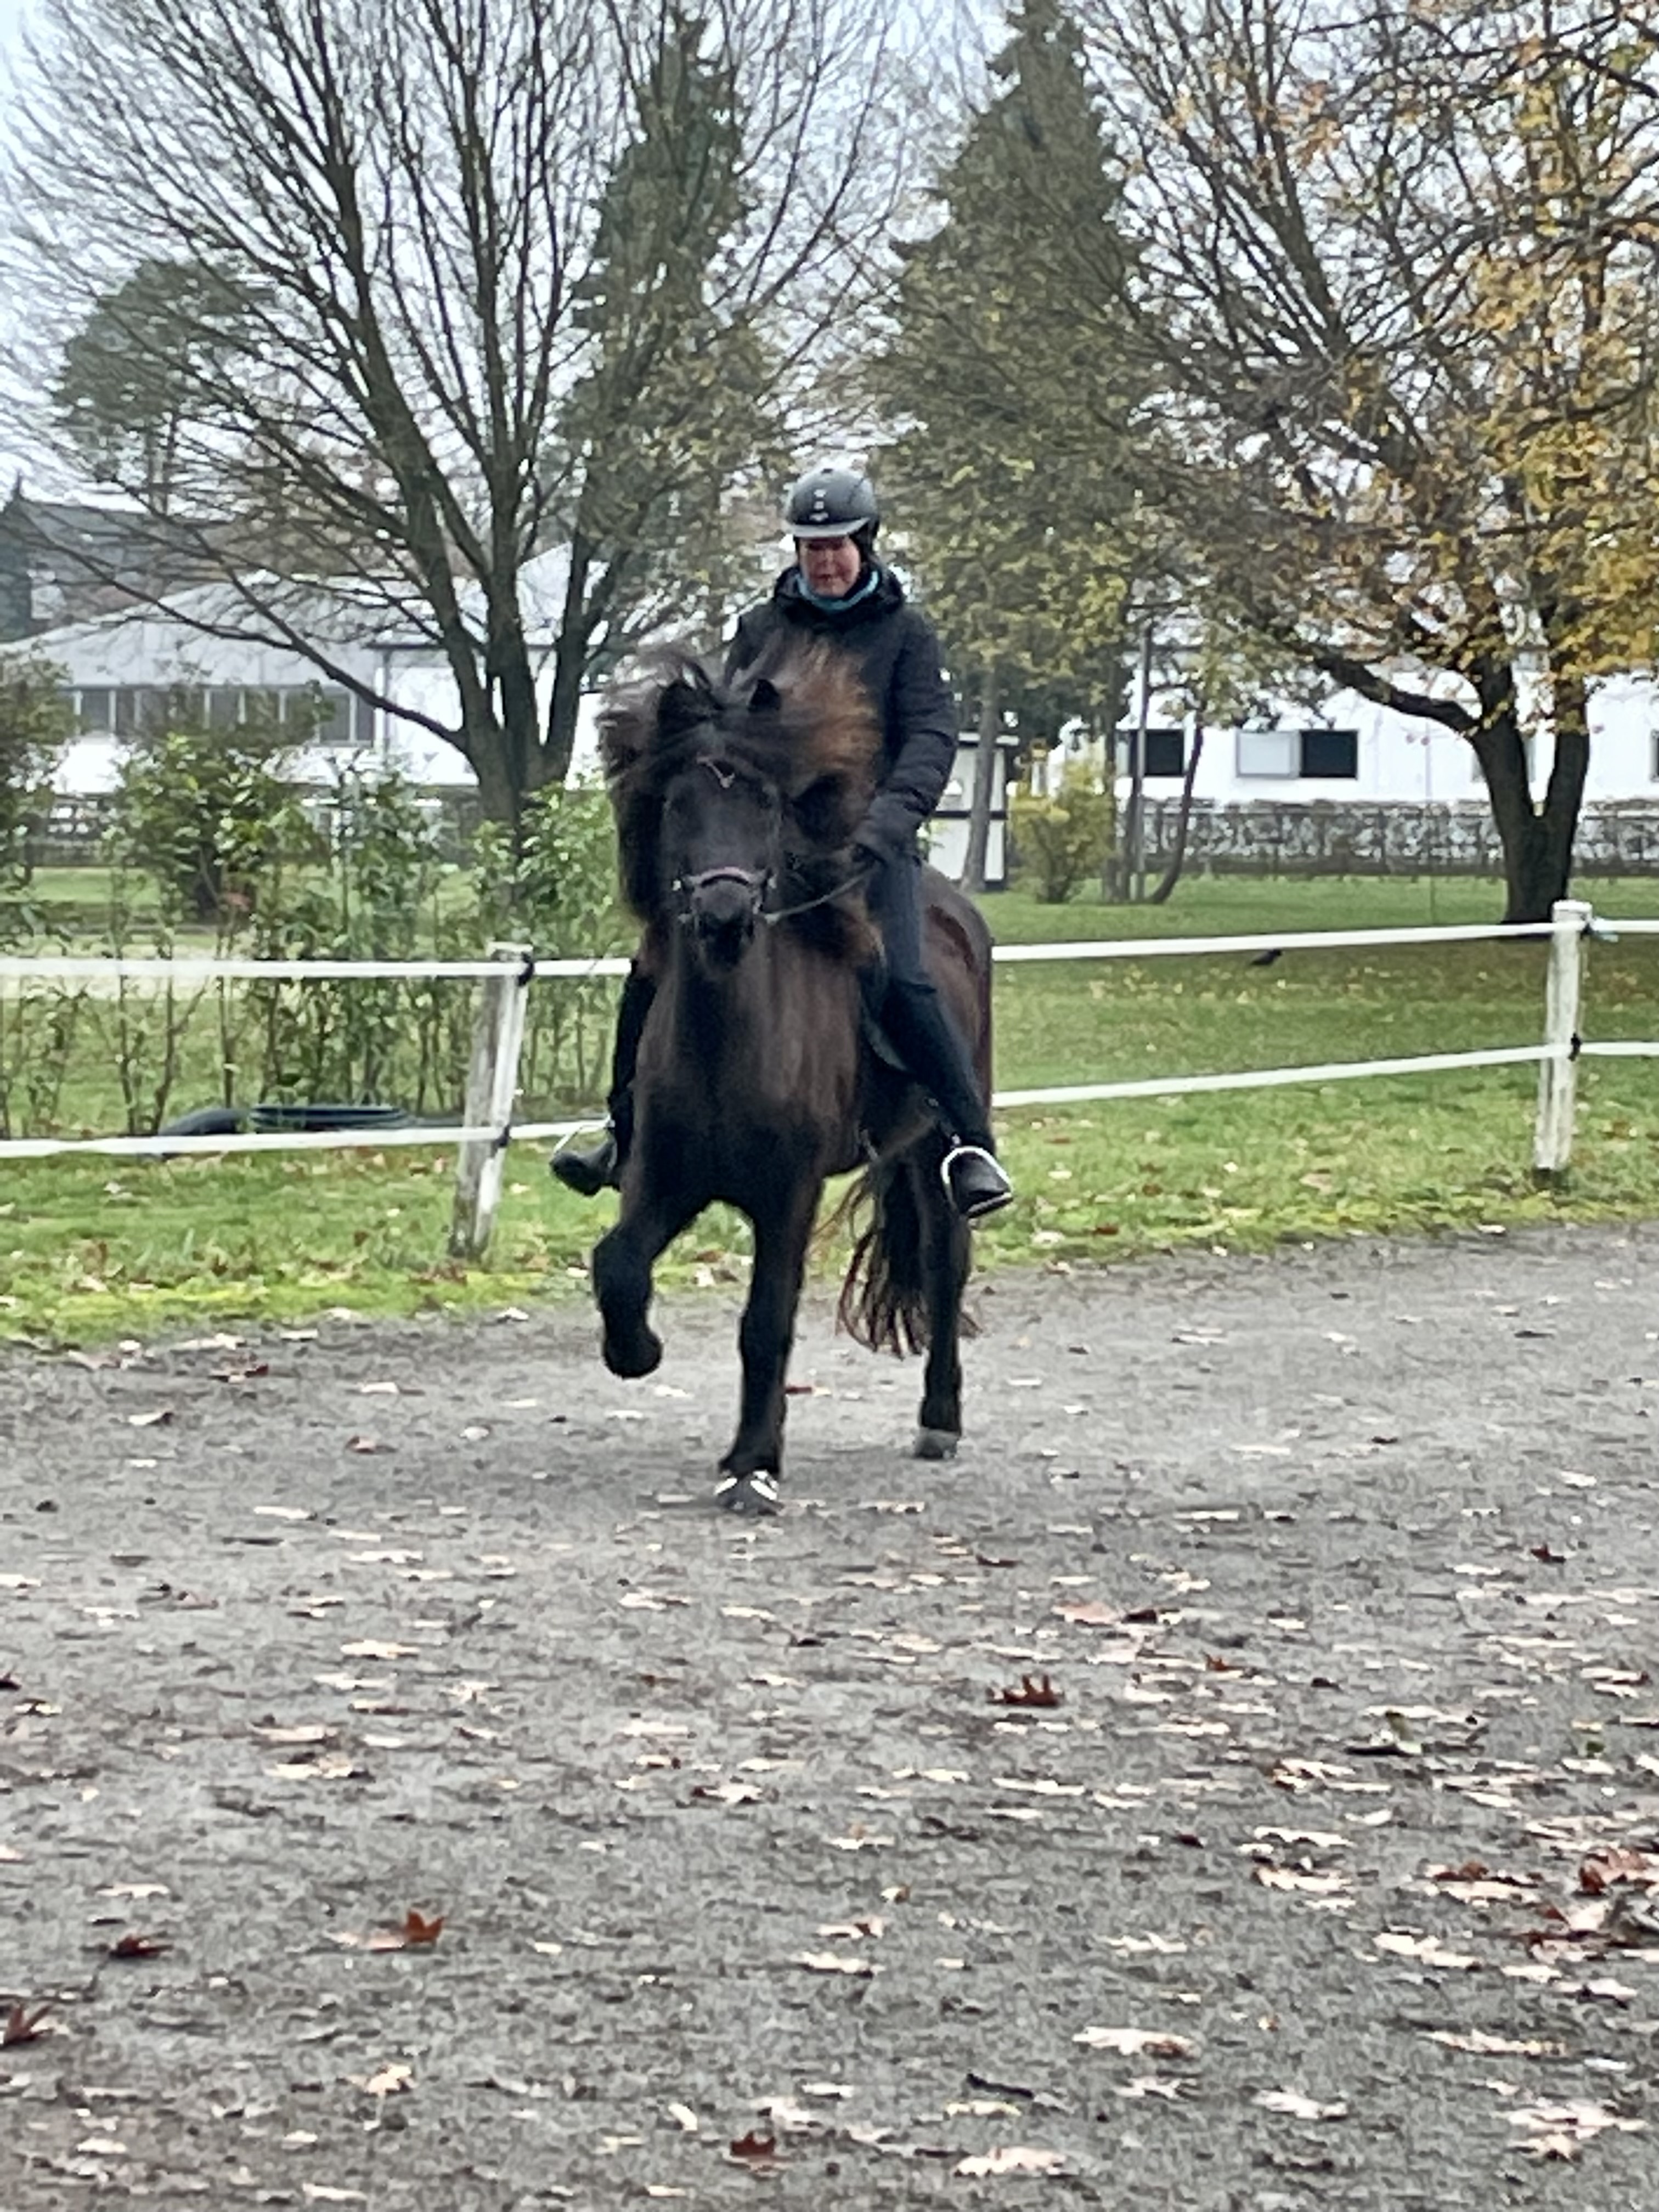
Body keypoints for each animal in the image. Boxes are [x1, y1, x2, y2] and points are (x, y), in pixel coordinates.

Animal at [592, 637, 995, 1504]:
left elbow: (766, 1320)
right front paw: (637, 1353)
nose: (724, 916)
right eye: (678, 805)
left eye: (768, 807)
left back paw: (940, 1420)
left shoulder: (788, 1193)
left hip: (933, 1148)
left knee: (946, 1263)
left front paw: (754, 1464)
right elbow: (620, 1267)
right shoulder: (663, 1177)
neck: (728, 1042)